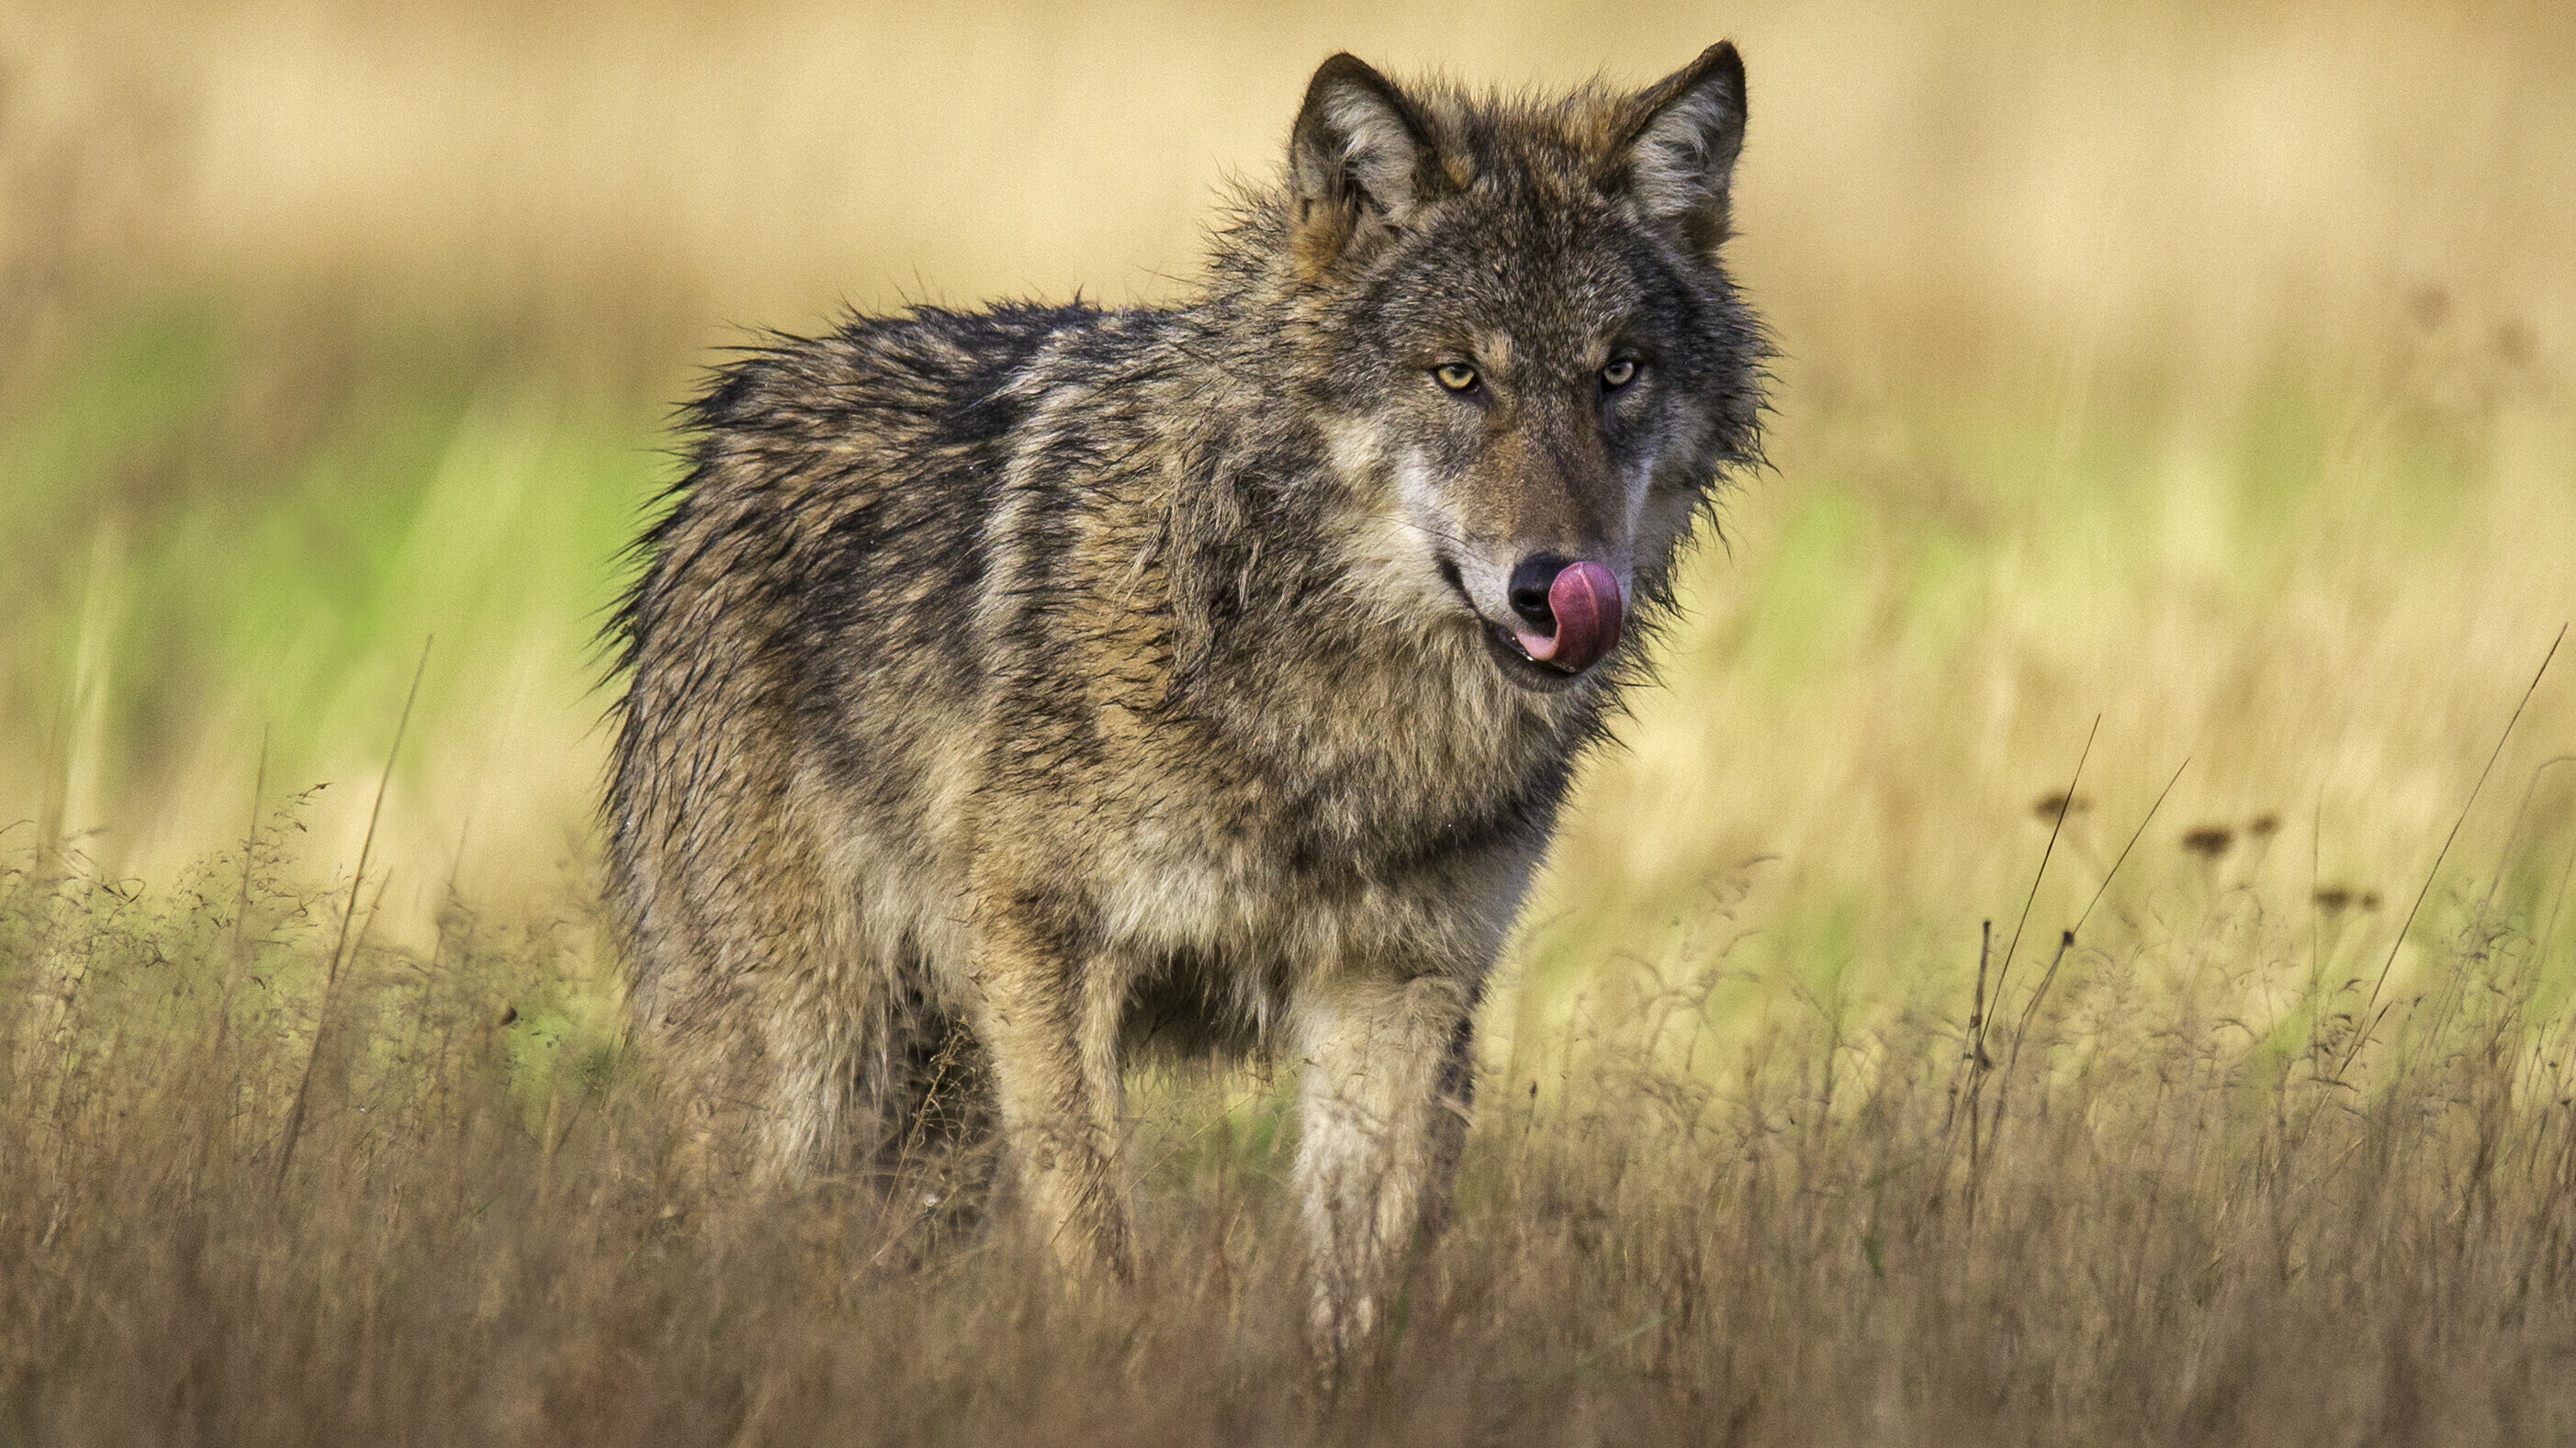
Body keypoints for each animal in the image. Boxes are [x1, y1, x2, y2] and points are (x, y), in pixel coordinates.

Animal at [604, 42, 1763, 1355]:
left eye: (1619, 373)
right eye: (1459, 375)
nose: (1559, 585)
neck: (1333, 705)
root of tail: (733, 423)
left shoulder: (1400, 994)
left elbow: (1360, 1290)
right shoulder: (1050, 953)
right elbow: (1100, 1244)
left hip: (942, 1110)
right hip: (811, 1076)